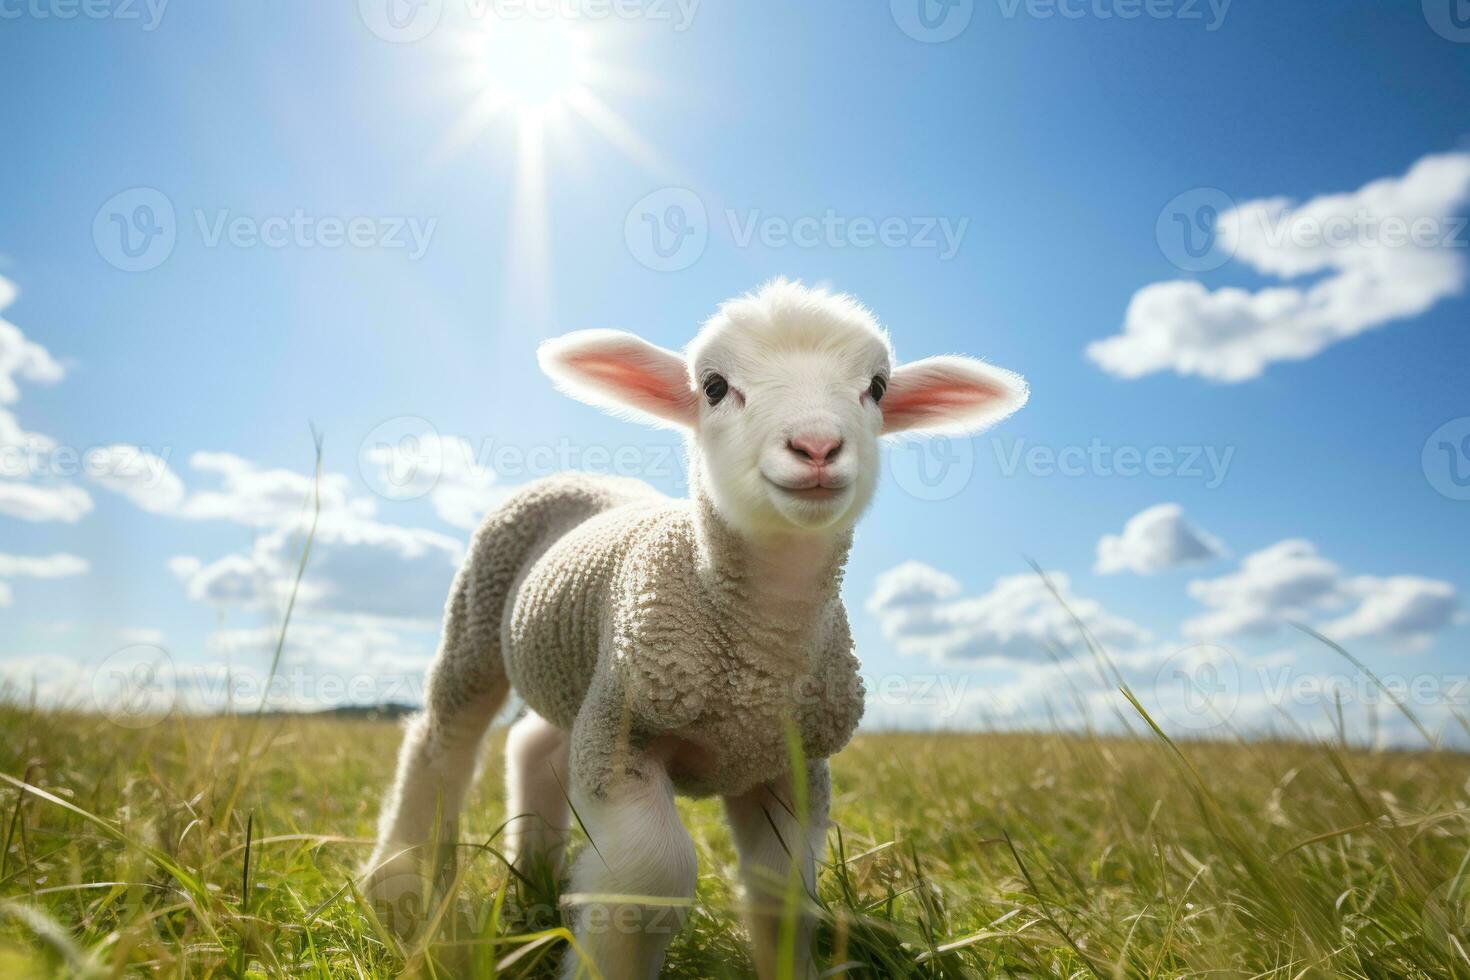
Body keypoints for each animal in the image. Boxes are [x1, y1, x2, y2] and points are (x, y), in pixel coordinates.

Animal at [366, 277, 1029, 980]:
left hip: (580, 666)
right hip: (480, 613)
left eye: (876, 387)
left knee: (533, 745)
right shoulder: (625, 731)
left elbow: (782, 889)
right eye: (713, 386)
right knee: (441, 740)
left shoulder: (790, 762)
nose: (816, 447)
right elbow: (652, 875)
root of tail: (587, 474)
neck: (758, 654)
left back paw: (536, 881)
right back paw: (398, 885)